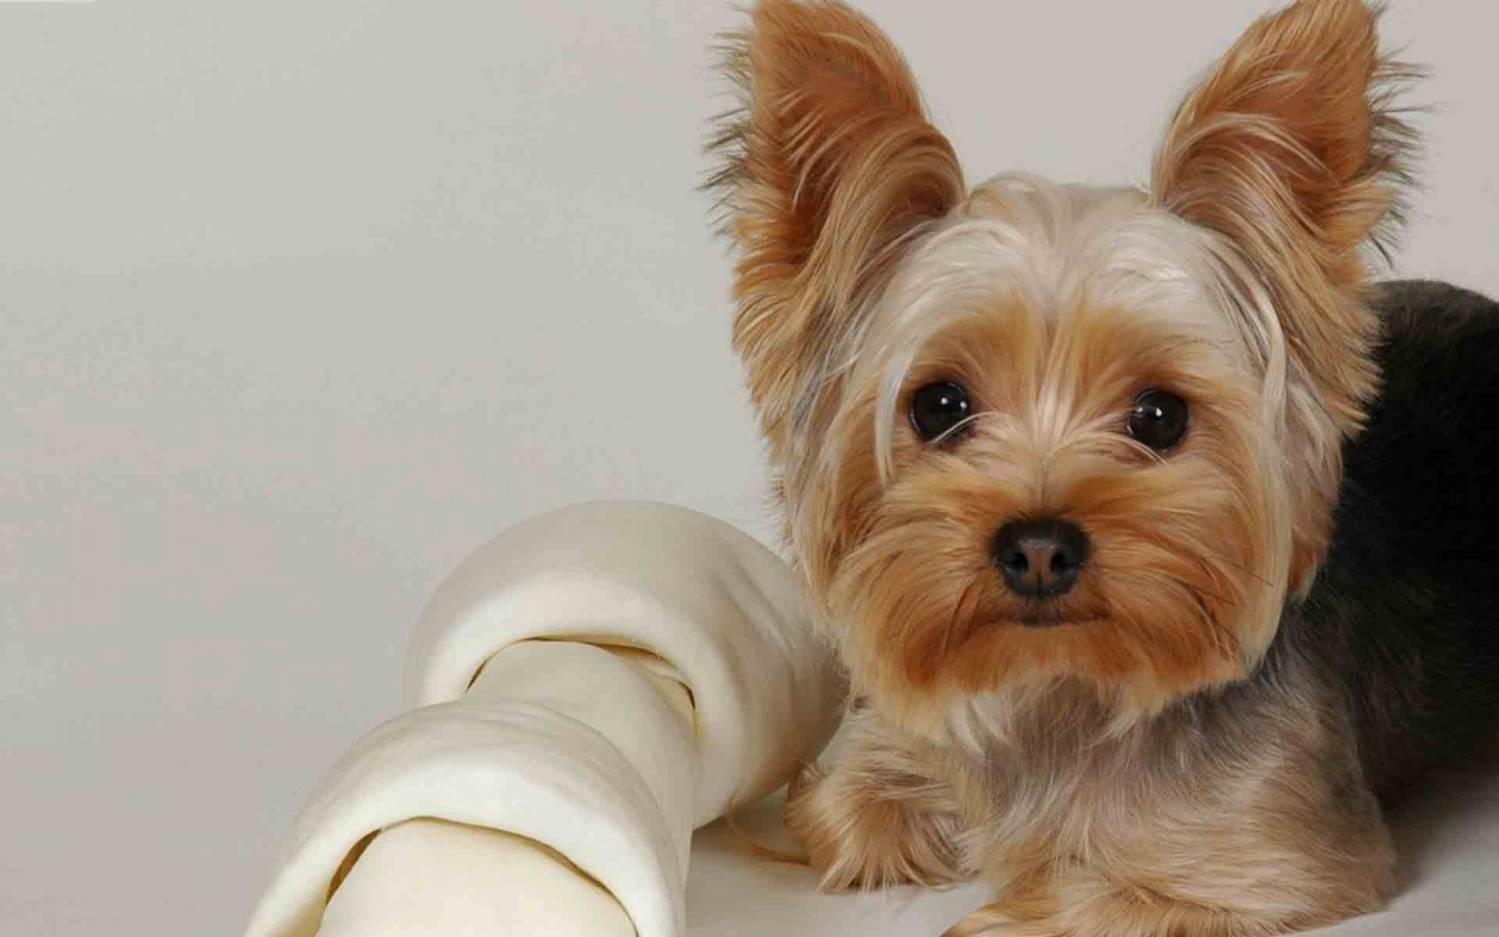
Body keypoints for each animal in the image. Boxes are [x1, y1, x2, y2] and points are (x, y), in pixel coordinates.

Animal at [707, 1, 1493, 935]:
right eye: (938, 405)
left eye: (1158, 416)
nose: (1039, 546)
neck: (1060, 690)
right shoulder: (893, 738)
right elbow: (839, 808)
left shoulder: (1276, 859)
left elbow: (1065, 896)